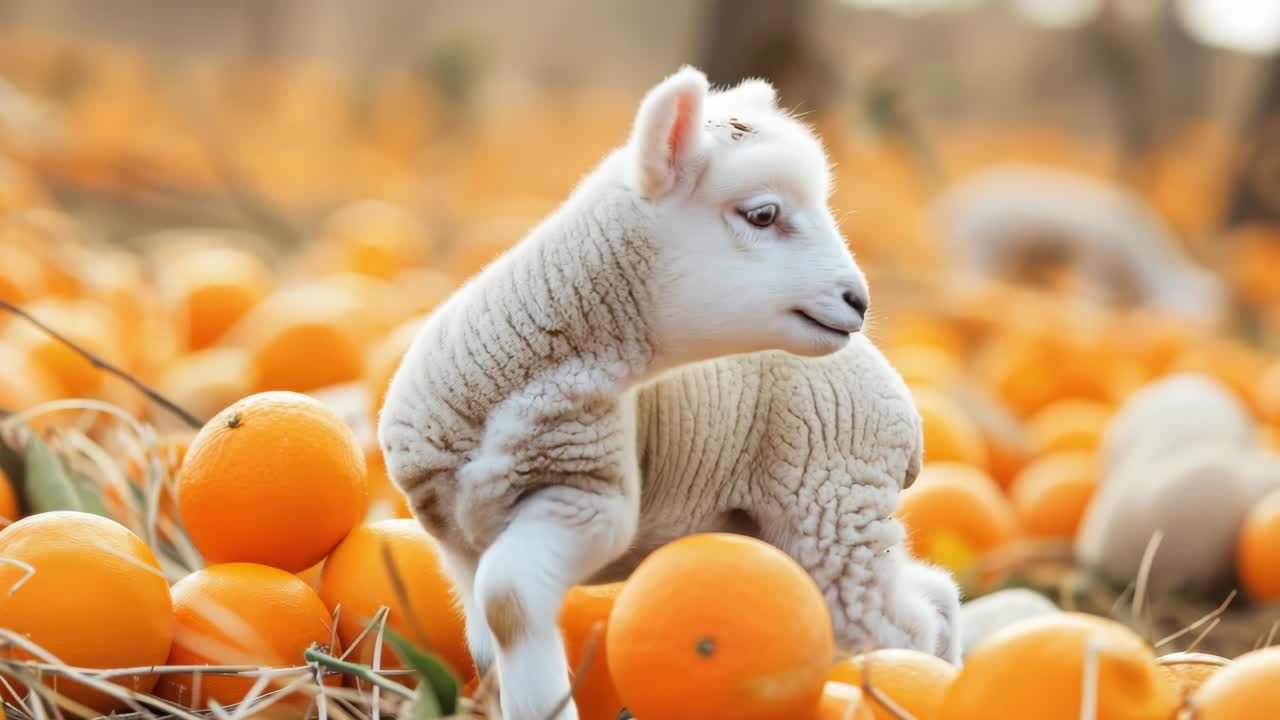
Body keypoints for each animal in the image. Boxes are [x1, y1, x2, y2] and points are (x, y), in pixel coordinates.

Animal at [379, 66, 874, 720]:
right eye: (763, 215)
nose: (858, 300)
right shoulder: (457, 540)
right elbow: (491, 637)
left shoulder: (591, 499)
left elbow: (508, 600)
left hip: (831, 507)